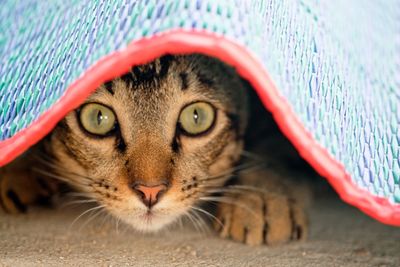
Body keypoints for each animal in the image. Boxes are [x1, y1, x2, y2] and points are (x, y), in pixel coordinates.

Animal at [0, 54, 310, 247]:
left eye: (197, 116)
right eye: (97, 118)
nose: (150, 191)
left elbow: (277, 137)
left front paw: (264, 198)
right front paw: (18, 167)